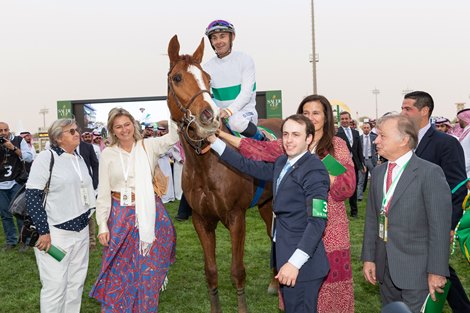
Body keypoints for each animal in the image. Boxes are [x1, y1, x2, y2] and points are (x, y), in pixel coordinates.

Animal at [167, 34, 280, 312]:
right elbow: (211, 272)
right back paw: (275, 282)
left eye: (208, 78)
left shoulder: (236, 217)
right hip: (266, 203)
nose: (209, 115)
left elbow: (237, 271)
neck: (206, 164)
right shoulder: (201, 220)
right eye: (177, 77)